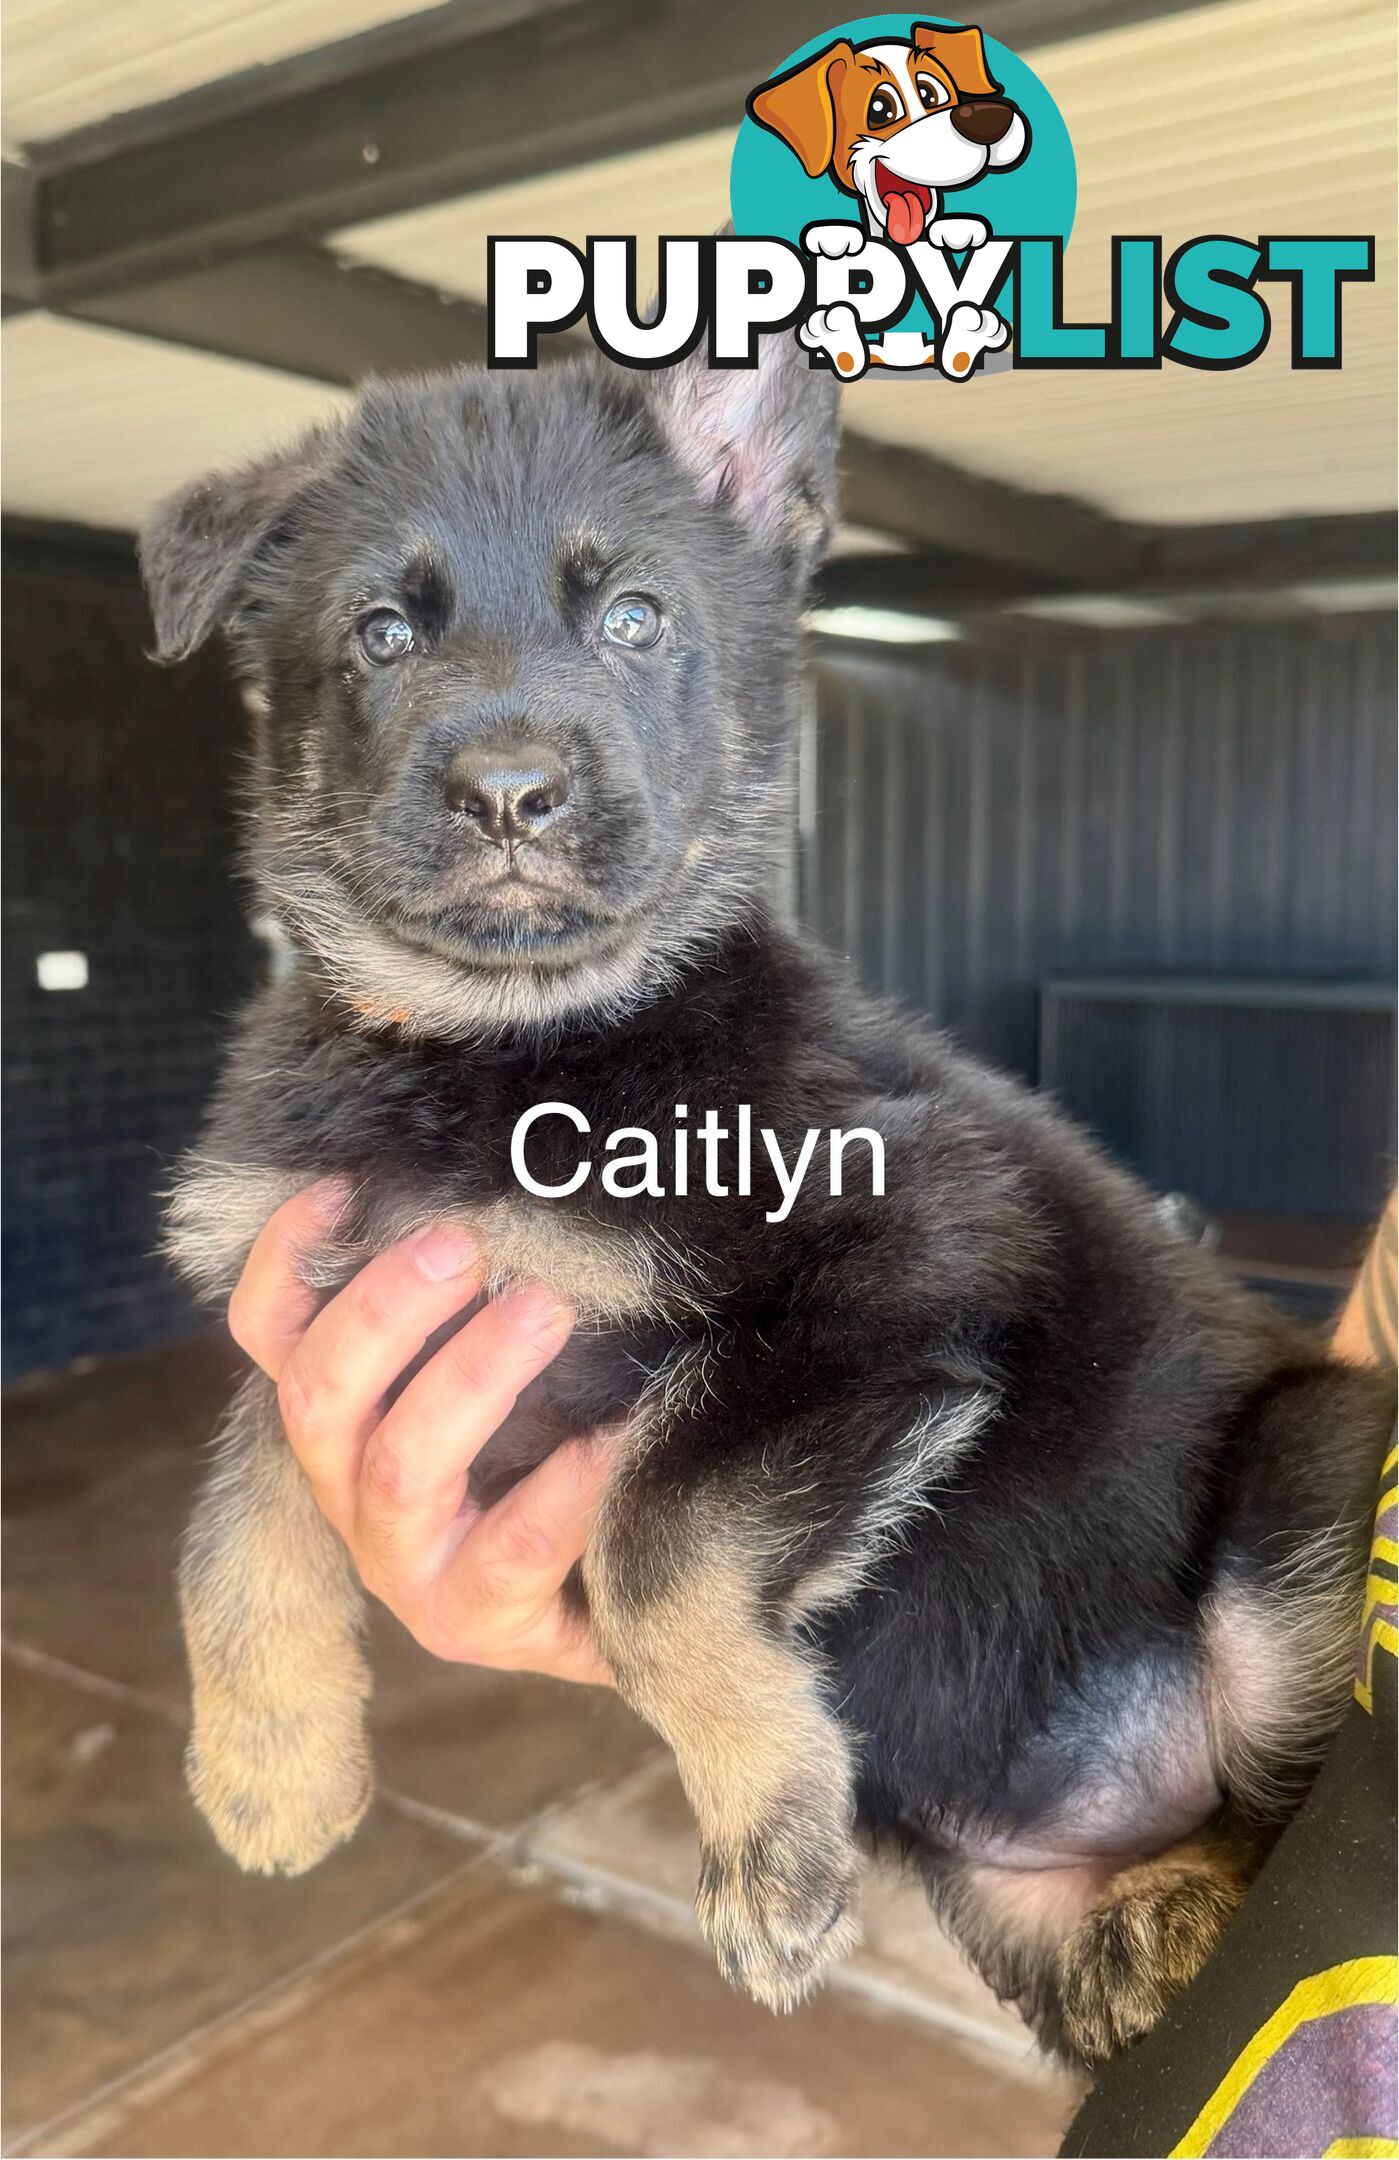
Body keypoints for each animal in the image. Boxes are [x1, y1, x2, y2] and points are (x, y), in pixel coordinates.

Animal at [142, 332, 1390, 2056]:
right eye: (381, 635)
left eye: (633, 617)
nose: (508, 791)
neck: (502, 1048)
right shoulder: (320, 1319)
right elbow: (236, 1510)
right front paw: (269, 1766)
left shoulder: (910, 1259)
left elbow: (655, 1535)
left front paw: (767, 1842)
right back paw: (1157, 1921)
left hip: (1302, 1478)